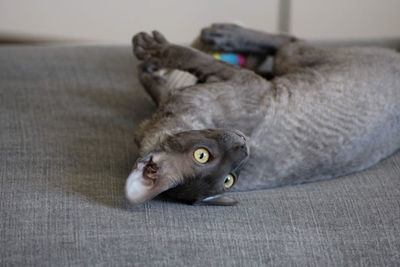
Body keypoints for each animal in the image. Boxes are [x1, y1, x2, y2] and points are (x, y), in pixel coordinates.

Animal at [126, 23, 400, 207]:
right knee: (288, 42)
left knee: (287, 41)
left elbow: (182, 61)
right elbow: (173, 74)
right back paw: (222, 35)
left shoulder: (243, 81)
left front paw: (150, 53)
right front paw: (149, 60)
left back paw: (221, 34)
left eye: (200, 155)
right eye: (229, 180)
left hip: (290, 62)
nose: (243, 145)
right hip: (291, 63)